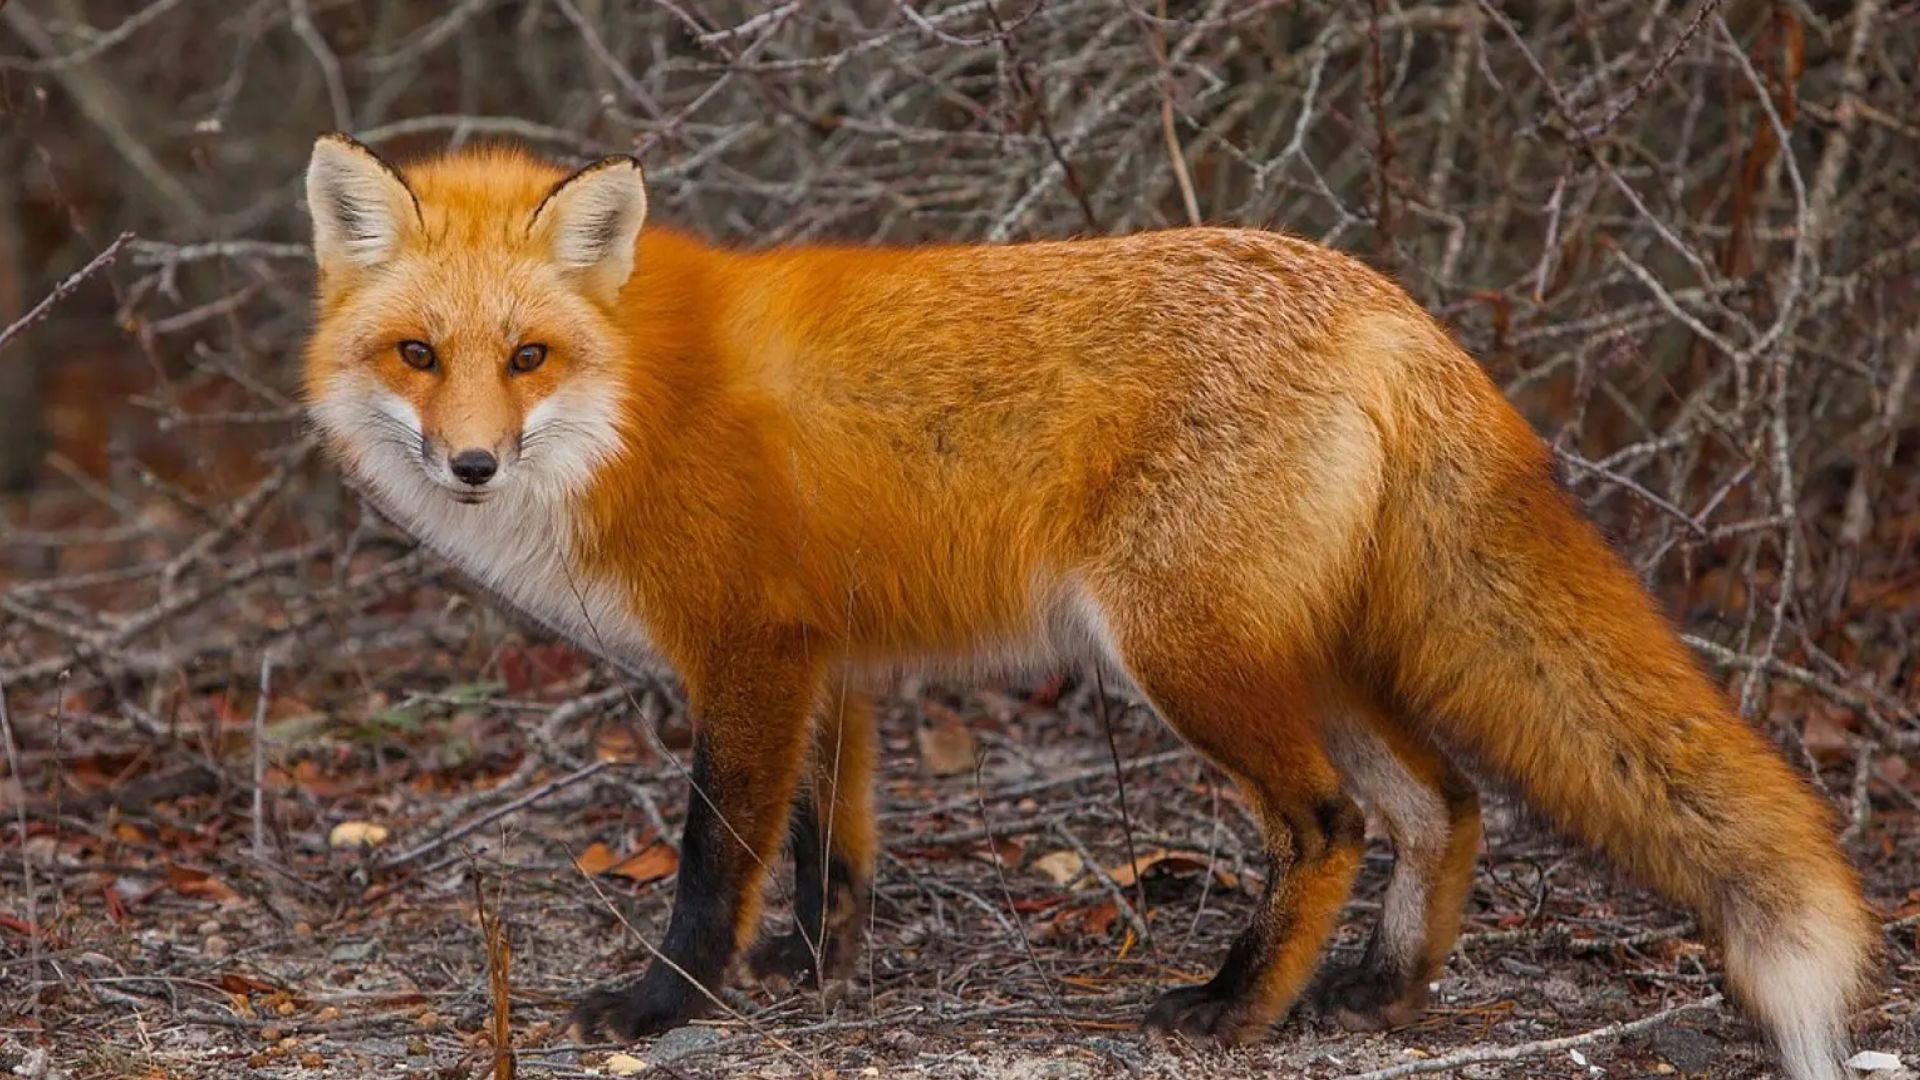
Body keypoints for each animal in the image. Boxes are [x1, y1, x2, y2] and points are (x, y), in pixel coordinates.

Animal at [300, 134, 1874, 1080]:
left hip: (1182, 654)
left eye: (529, 356)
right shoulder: (829, 666)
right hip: (1308, 655)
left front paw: (661, 1006)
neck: (633, 403)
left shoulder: (749, 653)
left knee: (1332, 823)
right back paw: (1380, 994)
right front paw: (822, 974)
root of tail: (1387, 303)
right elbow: (830, 852)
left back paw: (1237, 1009)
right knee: (1446, 803)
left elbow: (714, 860)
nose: (470, 464)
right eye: (420, 353)